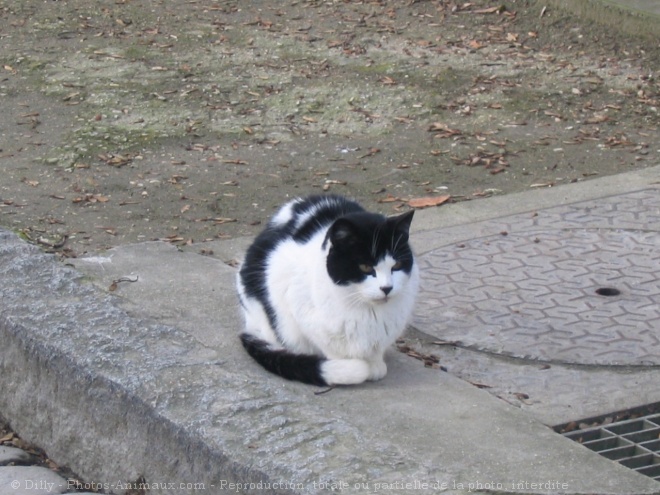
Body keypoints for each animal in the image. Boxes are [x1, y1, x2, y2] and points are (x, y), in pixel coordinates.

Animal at [237, 195, 418, 388]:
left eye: (397, 265)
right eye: (366, 267)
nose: (387, 288)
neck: (365, 309)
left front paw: (374, 364)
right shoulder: (289, 288)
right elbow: (330, 345)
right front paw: (350, 366)